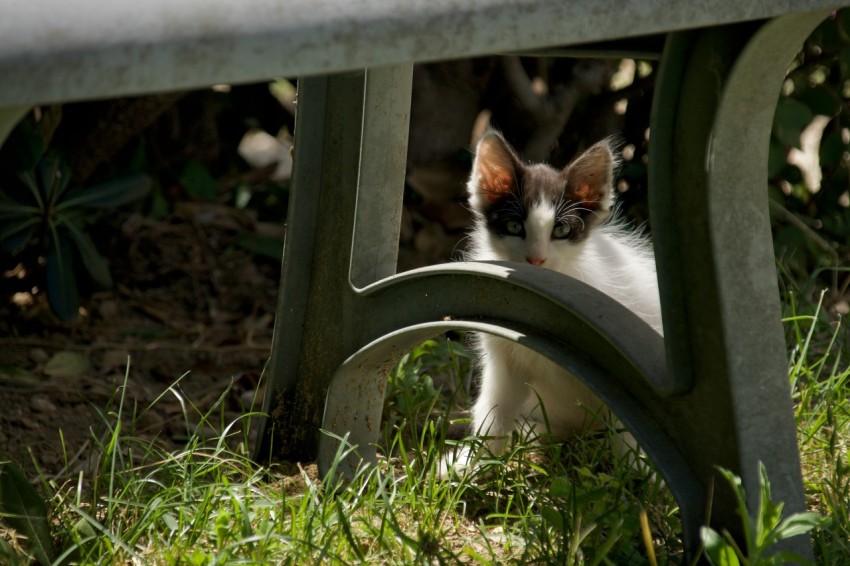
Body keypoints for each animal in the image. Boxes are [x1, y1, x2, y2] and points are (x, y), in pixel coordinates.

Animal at [460, 132, 660, 462]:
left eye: (561, 230)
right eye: (514, 226)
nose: (536, 259)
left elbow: (630, 428)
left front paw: (635, 468)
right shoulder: (505, 359)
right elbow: (494, 409)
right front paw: (474, 462)